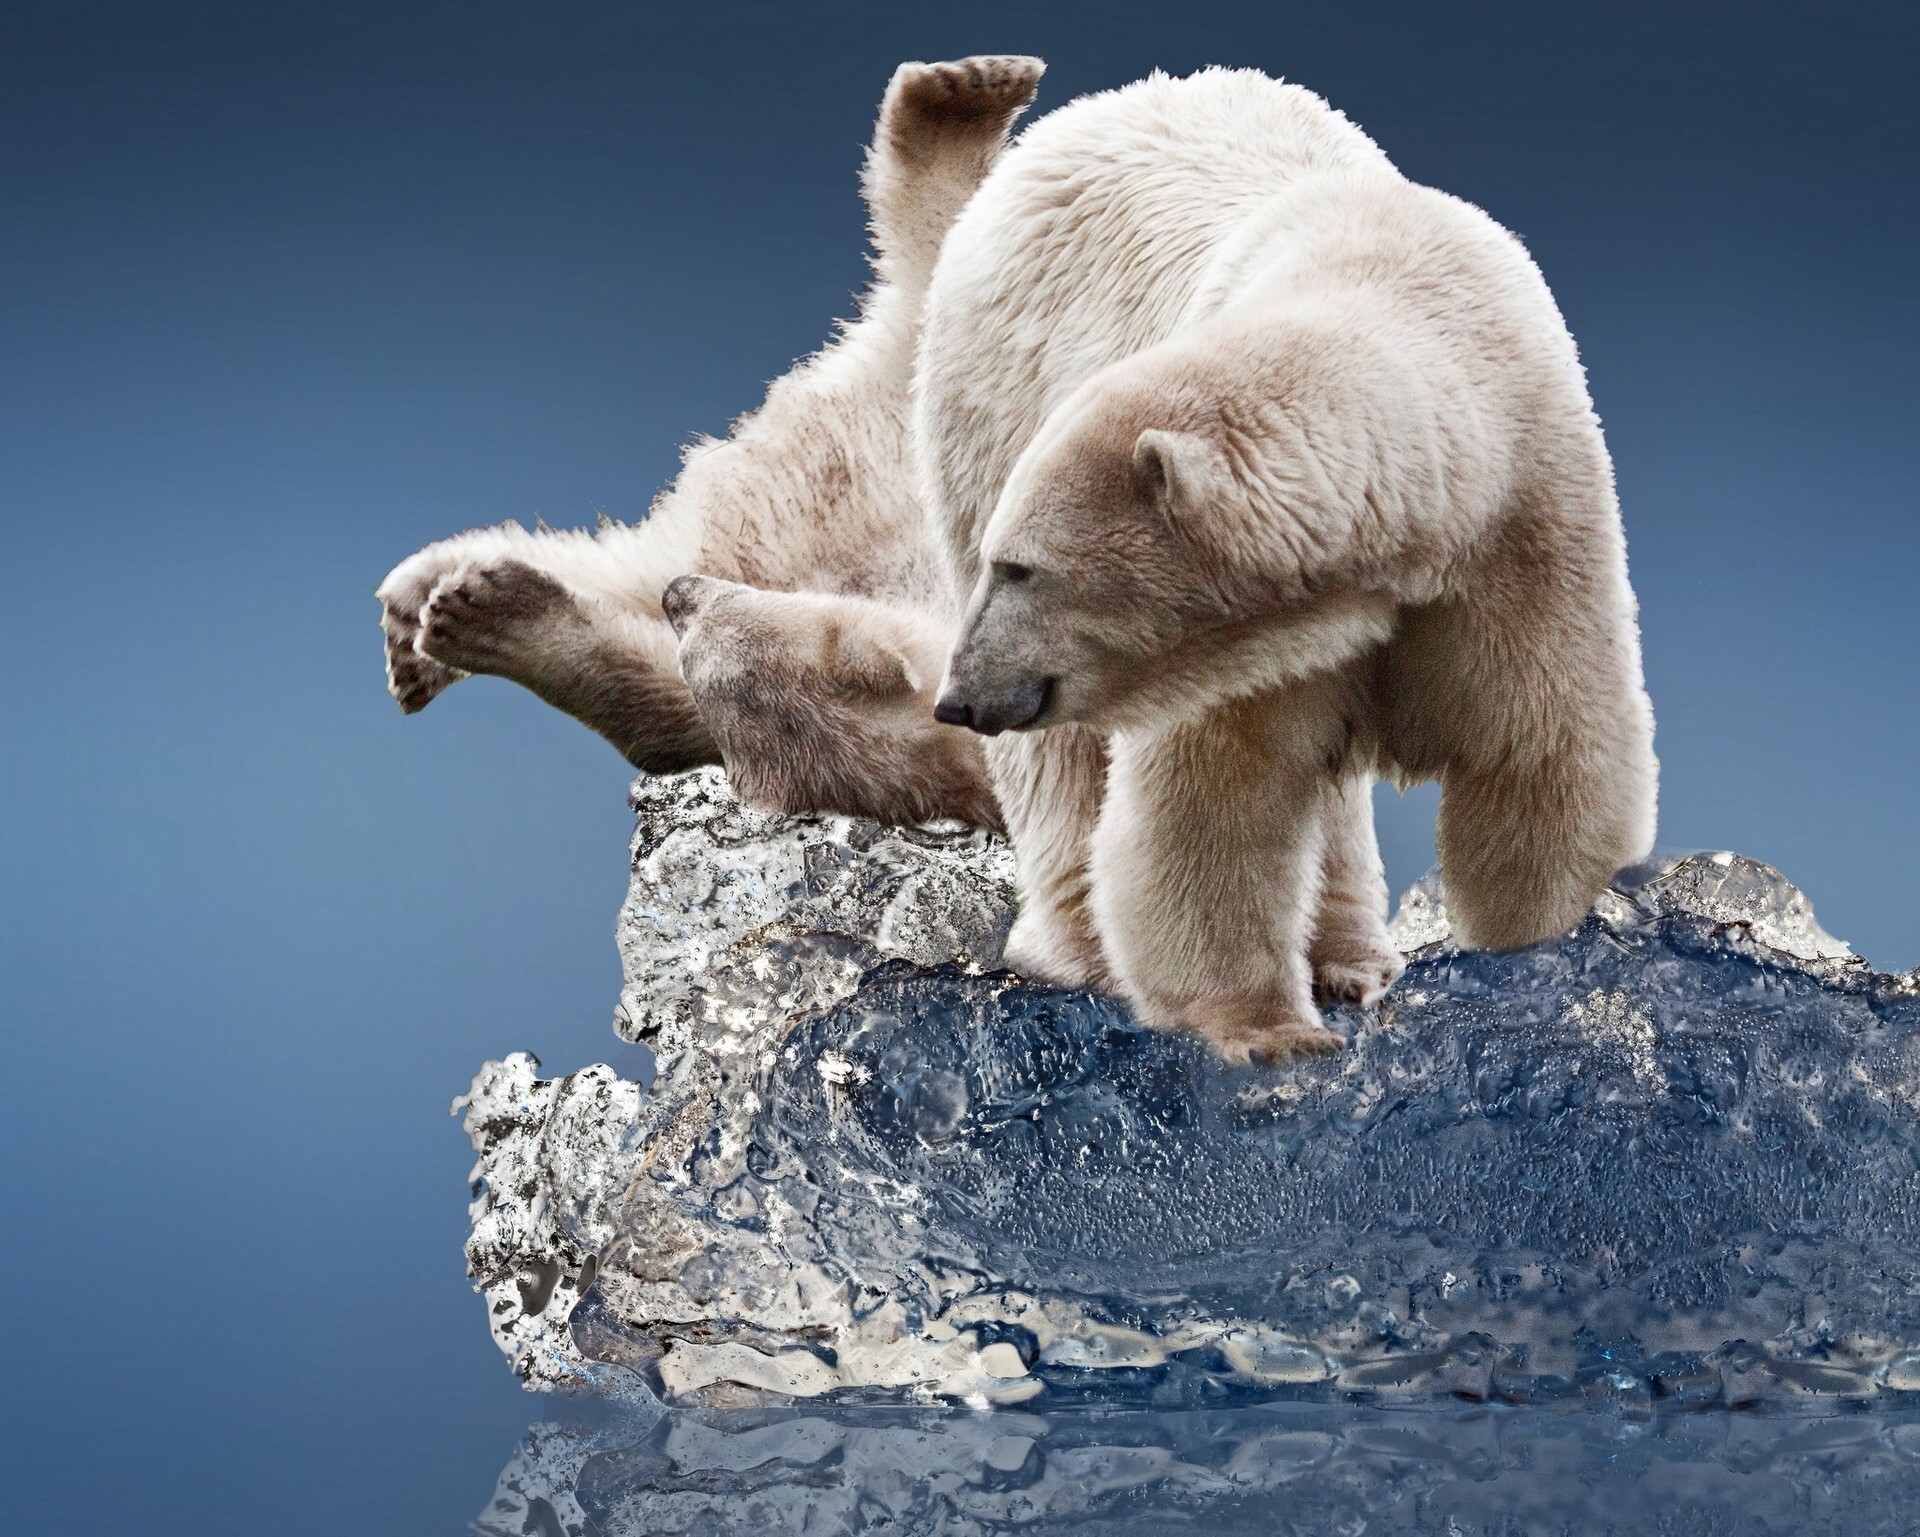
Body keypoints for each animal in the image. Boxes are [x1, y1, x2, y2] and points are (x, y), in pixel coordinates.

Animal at [921, 68, 1659, 1059]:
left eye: (1023, 569)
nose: (957, 697)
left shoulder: (1522, 530)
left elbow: (1537, 756)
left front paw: (1526, 955)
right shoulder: (1246, 647)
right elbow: (1215, 805)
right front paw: (1271, 1030)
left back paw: (1352, 958)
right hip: (989, 404)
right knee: (1066, 768)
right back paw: (1085, 952)